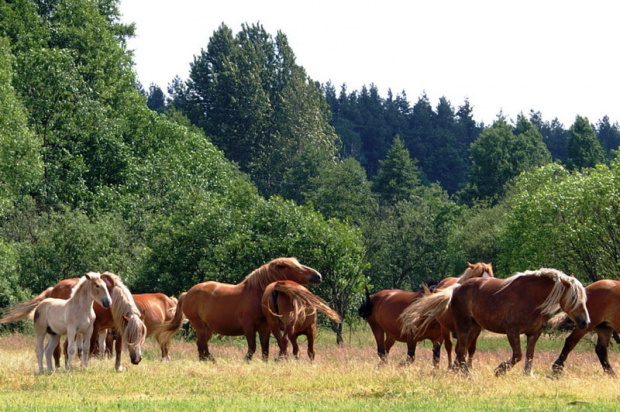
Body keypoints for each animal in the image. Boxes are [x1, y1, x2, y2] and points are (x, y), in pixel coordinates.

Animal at [160, 258, 324, 360]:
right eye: (295, 267)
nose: (318, 276)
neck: (256, 294)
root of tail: (187, 293)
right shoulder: (249, 327)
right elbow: (252, 347)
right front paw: (247, 360)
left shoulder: (265, 329)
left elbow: (265, 349)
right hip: (200, 326)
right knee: (202, 345)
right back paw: (211, 360)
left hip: (208, 329)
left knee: (200, 345)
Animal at [358, 262, 494, 366]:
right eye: (479, 277)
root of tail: (375, 298)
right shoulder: (412, 338)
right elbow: (410, 358)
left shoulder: (437, 340)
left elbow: (436, 360)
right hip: (377, 328)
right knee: (382, 352)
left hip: (391, 334)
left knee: (385, 352)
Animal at [400, 268, 588, 376]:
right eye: (574, 298)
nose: (585, 322)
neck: (531, 298)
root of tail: (456, 288)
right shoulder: (512, 332)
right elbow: (518, 355)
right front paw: (499, 370)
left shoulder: (534, 333)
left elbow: (529, 356)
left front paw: (528, 375)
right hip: (463, 327)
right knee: (460, 350)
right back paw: (465, 374)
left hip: (473, 328)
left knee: (464, 350)